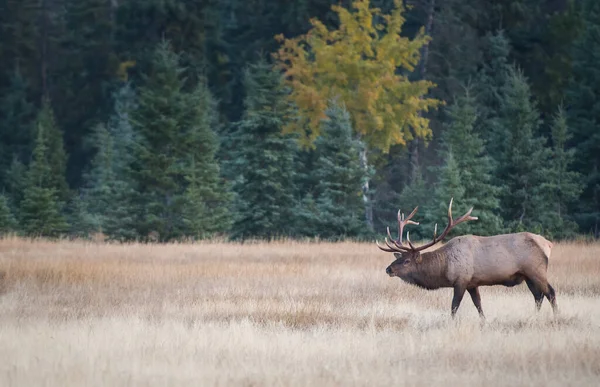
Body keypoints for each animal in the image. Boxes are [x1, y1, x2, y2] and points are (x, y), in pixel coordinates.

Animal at [380, 200, 556, 318]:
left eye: (407, 261)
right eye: (400, 257)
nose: (388, 269)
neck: (444, 267)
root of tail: (548, 244)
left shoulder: (461, 280)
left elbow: (454, 307)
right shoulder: (473, 283)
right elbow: (478, 305)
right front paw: (484, 322)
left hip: (536, 270)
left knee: (550, 292)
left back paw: (556, 316)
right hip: (527, 276)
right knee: (538, 296)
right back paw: (534, 317)